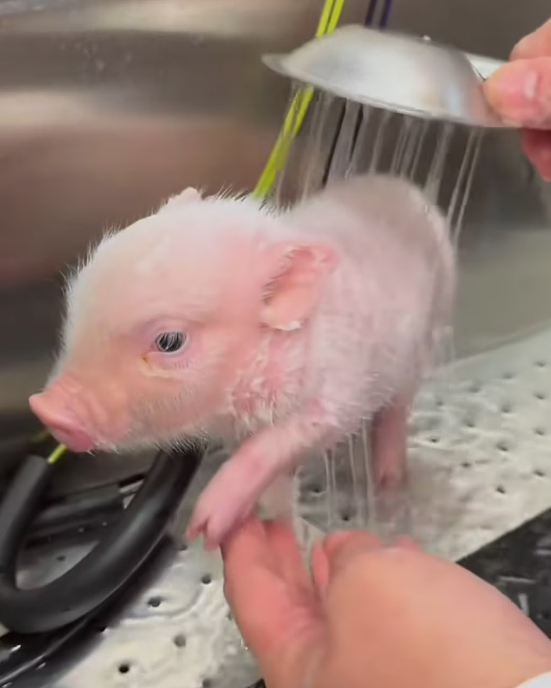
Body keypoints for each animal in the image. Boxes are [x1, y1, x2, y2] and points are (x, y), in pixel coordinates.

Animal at [29, 173, 455, 548]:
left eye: (169, 341)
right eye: (76, 305)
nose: (47, 409)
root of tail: (407, 188)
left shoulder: (340, 387)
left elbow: (279, 441)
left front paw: (207, 524)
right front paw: (282, 527)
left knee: (397, 410)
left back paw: (390, 486)